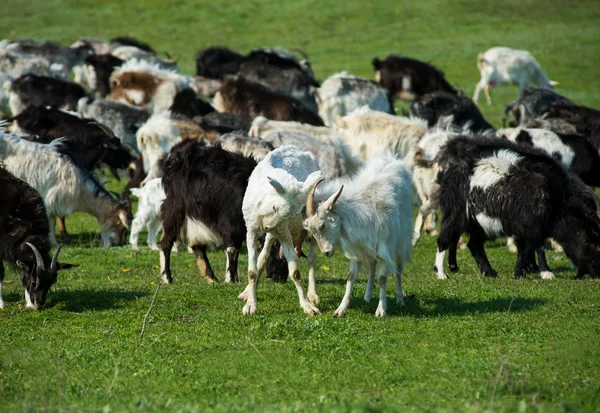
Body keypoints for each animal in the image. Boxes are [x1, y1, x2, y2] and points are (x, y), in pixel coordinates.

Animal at [302, 153, 414, 318]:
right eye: (312, 231)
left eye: (322, 226)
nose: (326, 252)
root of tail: (393, 161)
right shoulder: (358, 247)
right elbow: (351, 277)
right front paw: (341, 309)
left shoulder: (383, 247)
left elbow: (382, 279)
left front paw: (381, 310)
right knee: (372, 267)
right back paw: (367, 296)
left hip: (402, 240)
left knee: (399, 269)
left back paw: (400, 298)